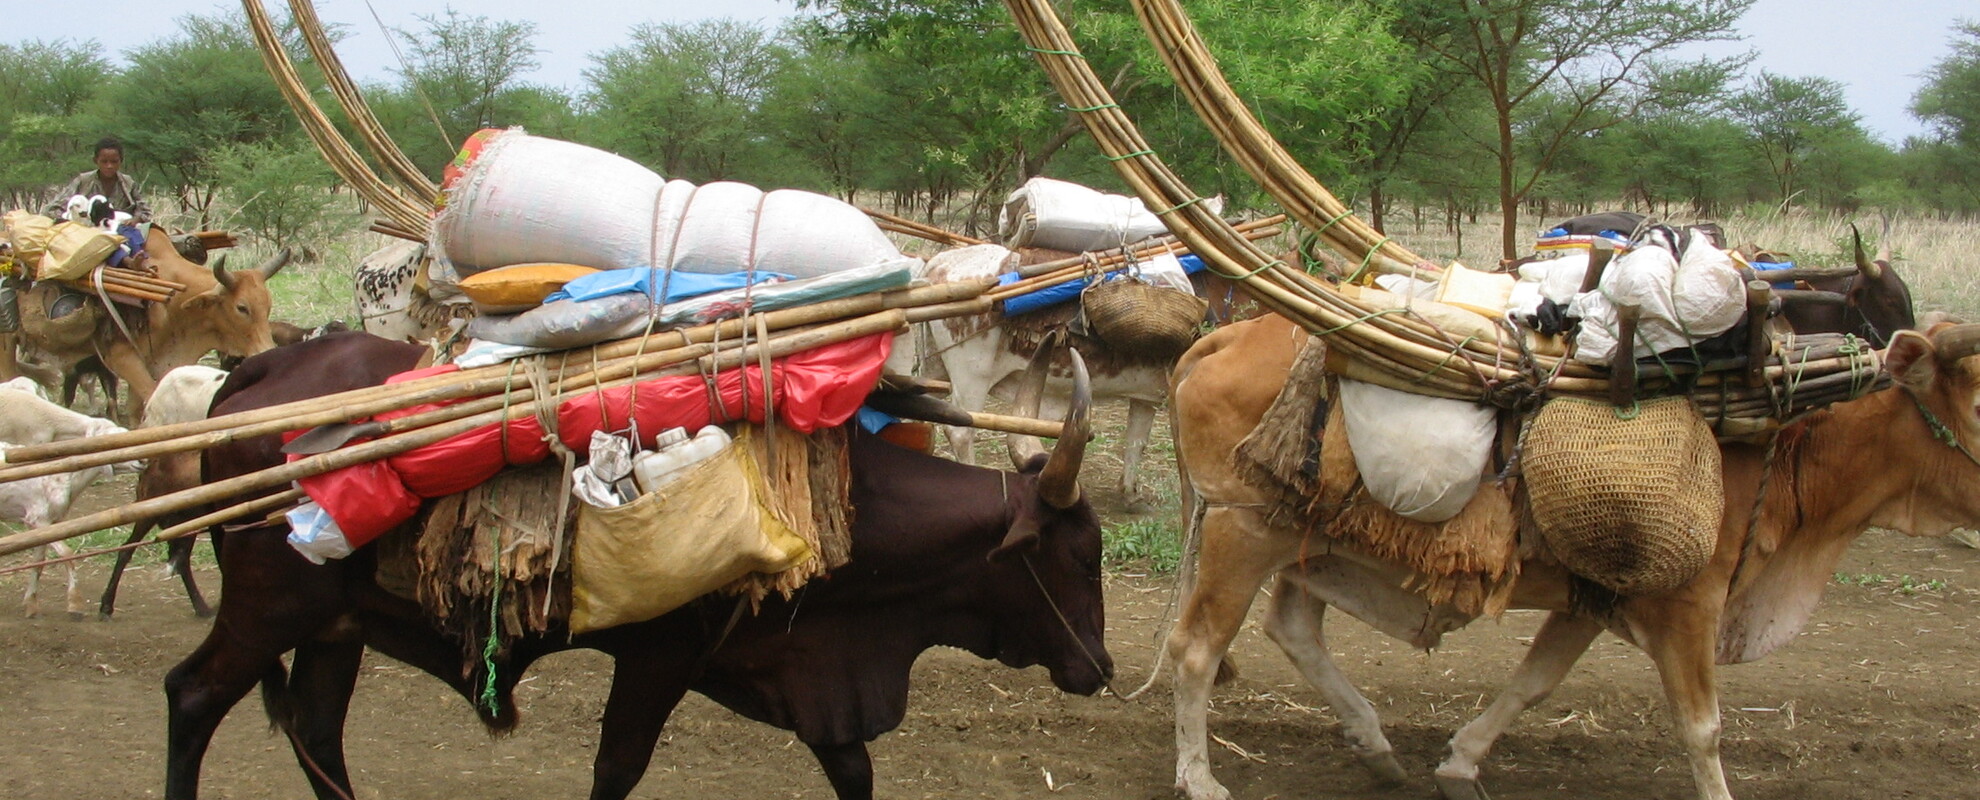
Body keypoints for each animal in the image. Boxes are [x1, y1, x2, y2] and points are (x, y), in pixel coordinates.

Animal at [0, 382, 143, 617]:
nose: (143, 461)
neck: (66, 475)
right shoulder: (37, 519)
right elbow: (67, 554)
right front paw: (75, 604)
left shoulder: (51, 523)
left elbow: (38, 563)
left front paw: (31, 604)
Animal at [164, 330, 1116, 800]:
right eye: (1082, 554)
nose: (1101, 669)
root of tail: (260, 368)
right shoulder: (657, 657)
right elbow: (616, 770)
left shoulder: (816, 679)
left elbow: (853, 772)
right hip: (267, 608)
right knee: (193, 695)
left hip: (334, 629)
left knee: (317, 733)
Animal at [1164, 312, 1980, 800]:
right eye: (1977, 395)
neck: (1790, 447)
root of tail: (1224, 336)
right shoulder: (1689, 605)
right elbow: (1703, 727)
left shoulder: (1596, 599)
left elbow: (1534, 684)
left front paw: (1460, 761)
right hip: (1244, 532)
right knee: (1197, 649)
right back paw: (1199, 777)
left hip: (1309, 540)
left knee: (1292, 629)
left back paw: (1374, 743)